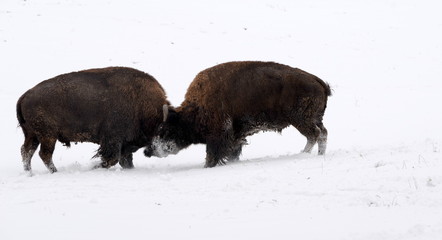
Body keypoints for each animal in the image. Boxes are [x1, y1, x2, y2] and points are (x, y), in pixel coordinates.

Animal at [17, 67, 170, 172]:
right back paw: (54, 172)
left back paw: (29, 172)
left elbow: (124, 160)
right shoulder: (113, 141)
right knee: (44, 154)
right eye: (168, 129)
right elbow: (111, 159)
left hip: (33, 135)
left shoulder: (124, 145)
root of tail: (25, 95)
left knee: (27, 151)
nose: (165, 150)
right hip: (48, 136)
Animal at [145, 61, 332, 168]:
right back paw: (319, 154)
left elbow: (213, 154)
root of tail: (318, 81)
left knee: (314, 135)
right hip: (314, 119)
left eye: (166, 130)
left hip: (301, 120)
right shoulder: (236, 134)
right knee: (322, 133)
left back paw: (303, 154)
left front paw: (209, 166)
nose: (148, 150)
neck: (197, 108)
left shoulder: (219, 135)